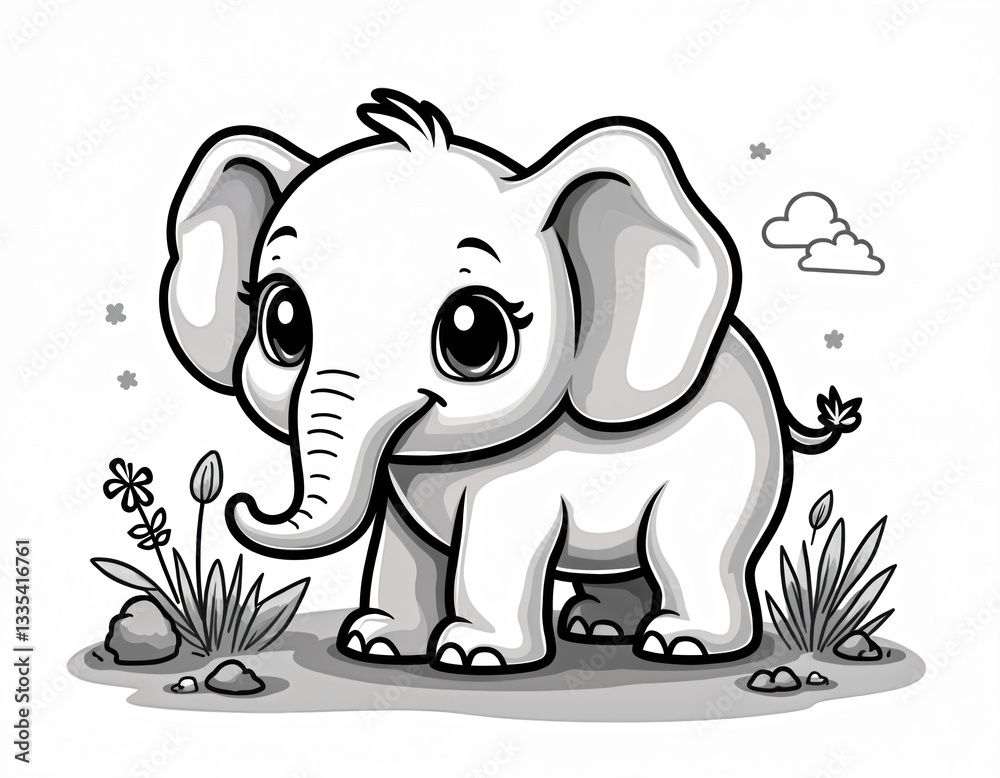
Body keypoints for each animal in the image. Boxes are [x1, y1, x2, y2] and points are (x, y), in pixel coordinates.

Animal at [160, 89, 861, 673]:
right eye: (283, 321)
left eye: (473, 334)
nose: (240, 502)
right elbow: (402, 546)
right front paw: (374, 643)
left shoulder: (522, 482)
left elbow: (495, 542)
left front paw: (473, 657)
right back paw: (597, 628)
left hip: (728, 467)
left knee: (689, 544)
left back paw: (680, 645)